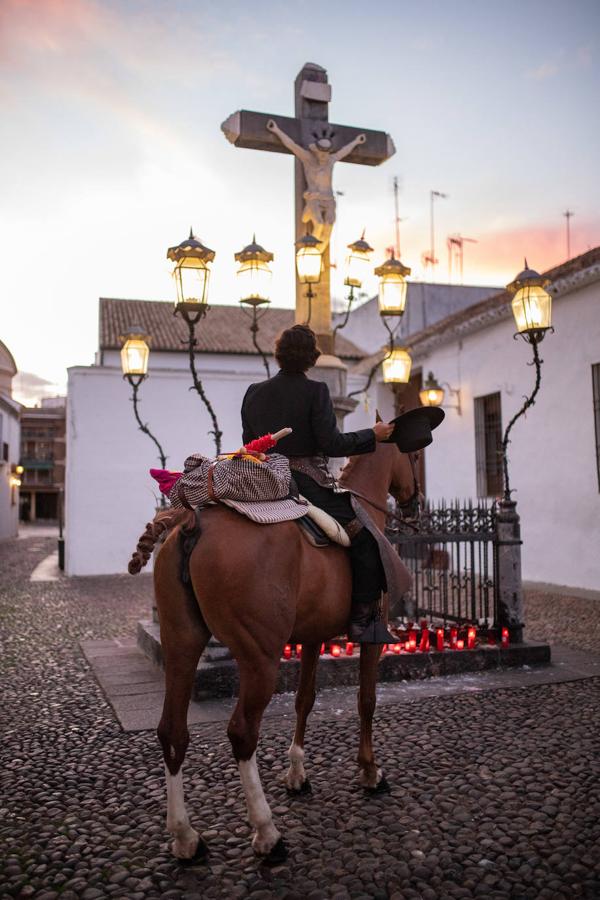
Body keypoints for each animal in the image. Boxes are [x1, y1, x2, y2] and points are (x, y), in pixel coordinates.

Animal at [128, 438, 414, 864]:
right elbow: (366, 701)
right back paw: (266, 833)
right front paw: (369, 771)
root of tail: (193, 524)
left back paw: (185, 837)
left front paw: (297, 774)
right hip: (260, 658)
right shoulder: (373, 638)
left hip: (181, 644)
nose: (414, 503)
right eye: (414, 455)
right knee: (242, 733)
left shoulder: (312, 637)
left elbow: (304, 700)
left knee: (172, 731)